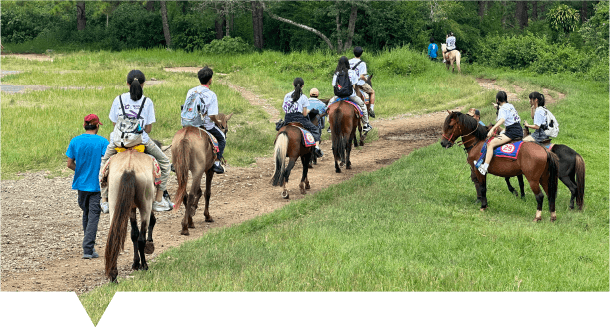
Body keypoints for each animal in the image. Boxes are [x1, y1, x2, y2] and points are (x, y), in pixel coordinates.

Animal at [103, 149, 158, 282]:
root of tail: (129, 168)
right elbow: (138, 235)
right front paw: (139, 264)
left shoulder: (131, 207)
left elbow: (133, 234)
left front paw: (135, 263)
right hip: (145, 205)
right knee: (142, 238)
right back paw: (145, 265)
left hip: (114, 202)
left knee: (115, 236)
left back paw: (113, 275)